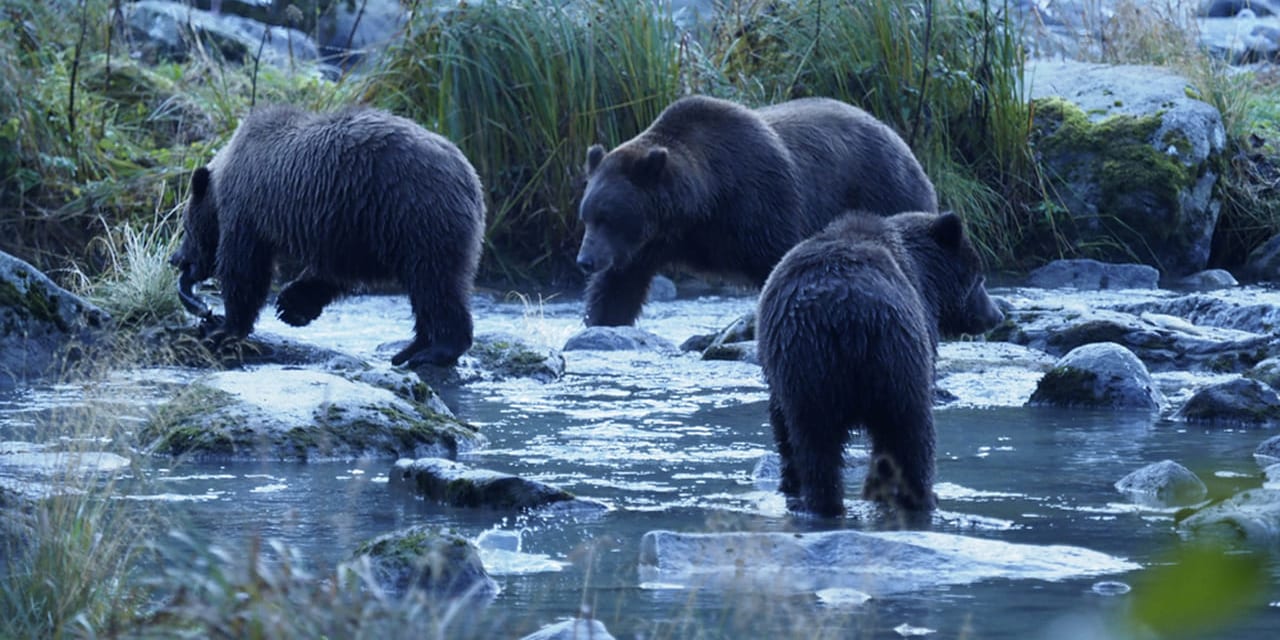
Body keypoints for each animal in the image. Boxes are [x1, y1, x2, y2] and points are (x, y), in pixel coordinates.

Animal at [170, 103, 483, 366]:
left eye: (185, 227)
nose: (177, 259)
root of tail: (470, 177)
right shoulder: (354, 223)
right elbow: (345, 267)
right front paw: (292, 305)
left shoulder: (247, 211)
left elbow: (245, 269)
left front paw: (222, 327)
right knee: (427, 289)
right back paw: (409, 349)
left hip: (418, 214)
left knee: (435, 283)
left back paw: (435, 350)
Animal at [576, 94, 936, 325]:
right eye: (587, 216)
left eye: (607, 217)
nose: (585, 261)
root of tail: (902, 142)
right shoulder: (646, 245)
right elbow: (618, 286)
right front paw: (602, 319)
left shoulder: (759, 204)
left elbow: (778, 259)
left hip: (887, 193)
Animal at [752, 209, 1003, 514]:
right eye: (980, 279)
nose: (997, 315)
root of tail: (848, 314)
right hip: (895, 356)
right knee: (912, 429)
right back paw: (922, 496)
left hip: (806, 369)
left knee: (812, 439)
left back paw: (821, 500)